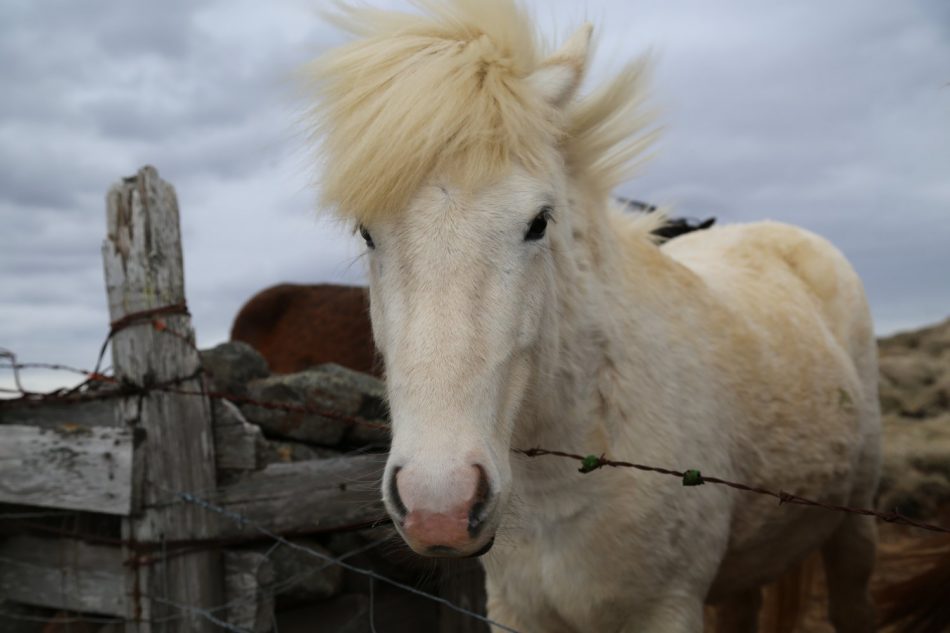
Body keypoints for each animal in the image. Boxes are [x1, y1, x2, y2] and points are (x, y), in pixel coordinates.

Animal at [308, 2, 880, 628]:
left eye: (538, 222)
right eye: (367, 232)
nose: (441, 505)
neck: (565, 480)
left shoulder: (667, 609)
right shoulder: (513, 609)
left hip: (855, 528)